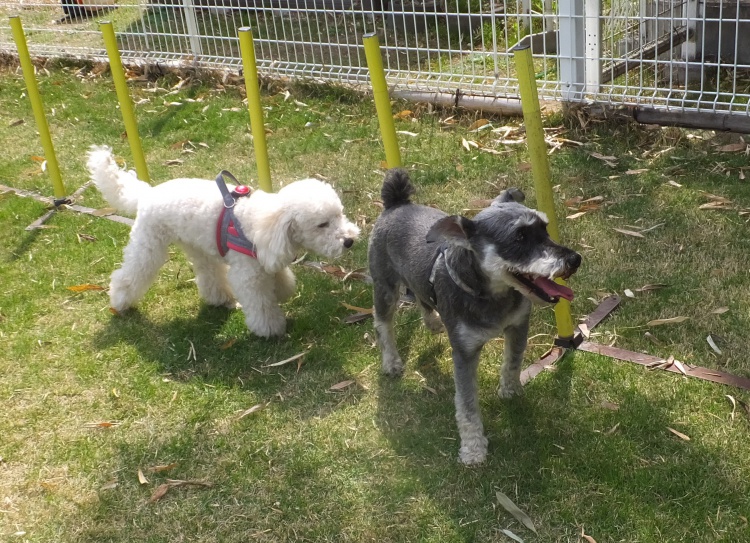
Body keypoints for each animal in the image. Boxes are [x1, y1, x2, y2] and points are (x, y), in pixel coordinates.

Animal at [87, 145, 360, 338]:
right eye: (322, 224)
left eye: (340, 214)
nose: (349, 241)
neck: (263, 222)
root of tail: (147, 193)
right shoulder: (247, 273)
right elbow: (261, 303)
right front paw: (270, 328)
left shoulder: (265, 258)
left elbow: (281, 280)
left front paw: (281, 291)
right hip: (149, 244)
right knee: (129, 274)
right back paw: (120, 302)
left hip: (196, 245)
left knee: (208, 273)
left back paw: (218, 298)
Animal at [368, 169, 581, 464]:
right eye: (519, 237)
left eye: (545, 229)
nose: (574, 260)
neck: (490, 295)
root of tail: (396, 205)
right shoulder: (464, 352)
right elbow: (467, 405)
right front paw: (473, 448)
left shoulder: (518, 326)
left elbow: (512, 363)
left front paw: (511, 392)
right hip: (385, 287)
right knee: (383, 323)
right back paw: (391, 361)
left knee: (421, 296)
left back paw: (433, 322)